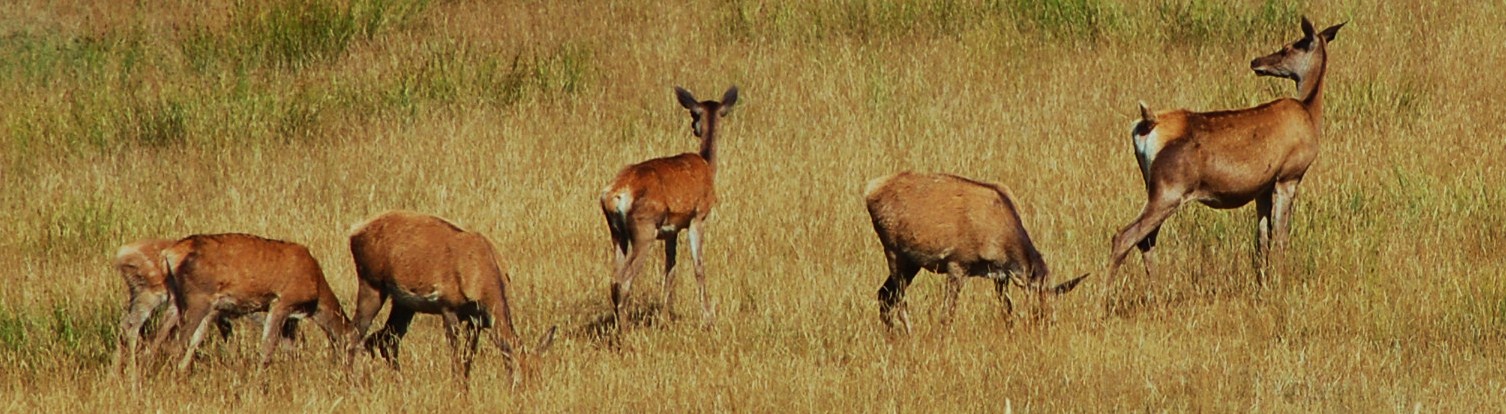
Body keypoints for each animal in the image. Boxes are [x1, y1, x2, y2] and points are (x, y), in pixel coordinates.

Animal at [162, 233, 355, 373]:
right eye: (354, 349)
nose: (350, 373)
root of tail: (171, 254)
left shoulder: (290, 318)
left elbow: (290, 349)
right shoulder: (283, 301)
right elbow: (267, 348)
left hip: (177, 301)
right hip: (197, 298)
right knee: (175, 344)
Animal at [349, 212, 557, 385]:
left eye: (540, 377)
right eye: (520, 379)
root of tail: (354, 232)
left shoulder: (476, 320)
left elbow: (467, 360)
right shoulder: (448, 308)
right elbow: (456, 361)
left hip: (403, 304)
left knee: (384, 339)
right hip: (371, 285)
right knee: (355, 333)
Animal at [599, 85, 740, 331]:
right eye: (693, 113)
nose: (693, 127)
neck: (708, 166)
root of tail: (615, 195)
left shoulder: (671, 230)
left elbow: (670, 271)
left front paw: (665, 318)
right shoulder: (698, 217)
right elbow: (698, 267)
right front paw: (708, 318)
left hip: (617, 233)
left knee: (613, 280)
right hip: (644, 229)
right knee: (624, 281)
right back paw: (625, 333)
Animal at [867, 172, 1090, 334]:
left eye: (1055, 309)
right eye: (1037, 310)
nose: (1048, 329)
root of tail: (869, 190)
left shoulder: (1001, 275)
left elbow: (1007, 311)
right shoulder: (957, 263)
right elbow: (947, 315)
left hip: (912, 261)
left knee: (884, 295)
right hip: (893, 250)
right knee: (898, 300)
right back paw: (908, 334)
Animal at [1114, 17, 1349, 287]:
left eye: (1287, 48)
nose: (1256, 61)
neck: (1310, 113)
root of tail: (1146, 123)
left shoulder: (1263, 187)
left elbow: (1262, 239)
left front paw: (1262, 281)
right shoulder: (1289, 176)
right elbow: (1281, 237)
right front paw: (1280, 283)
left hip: (1152, 187)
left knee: (1146, 239)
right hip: (1169, 189)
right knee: (1124, 236)